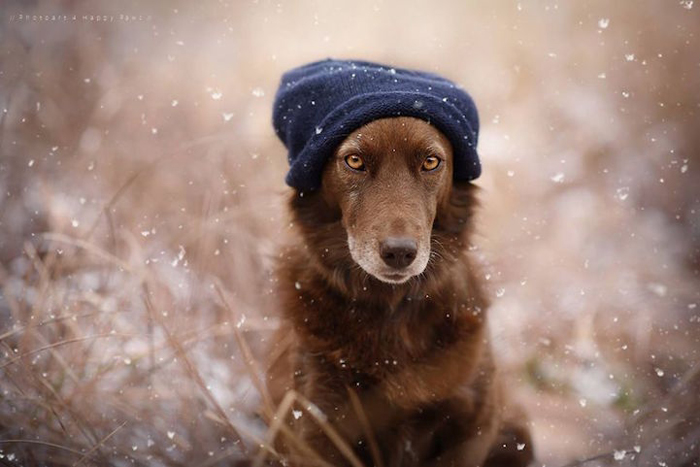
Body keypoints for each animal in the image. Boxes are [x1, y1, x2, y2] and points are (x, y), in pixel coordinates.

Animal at [266, 118, 532, 467]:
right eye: (354, 161)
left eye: (430, 162)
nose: (399, 252)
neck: (392, 309)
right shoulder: (316, 426)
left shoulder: (473, 421)